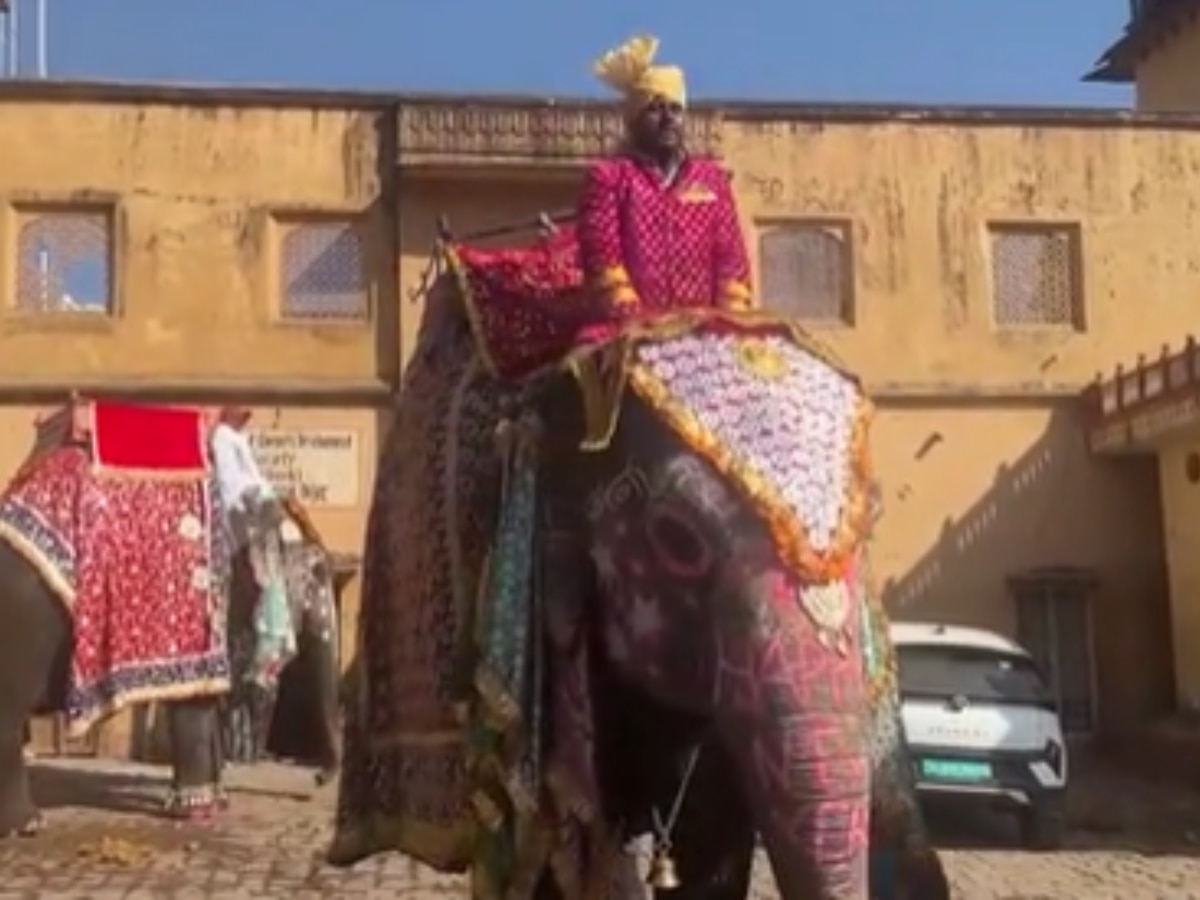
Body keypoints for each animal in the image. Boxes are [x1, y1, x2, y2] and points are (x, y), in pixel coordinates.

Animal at [0, 400, 343, 840]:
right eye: (316, 576)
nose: (317, 779)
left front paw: (214, 802)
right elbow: (195, 700)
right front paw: (194, 810)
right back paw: (27, 825)